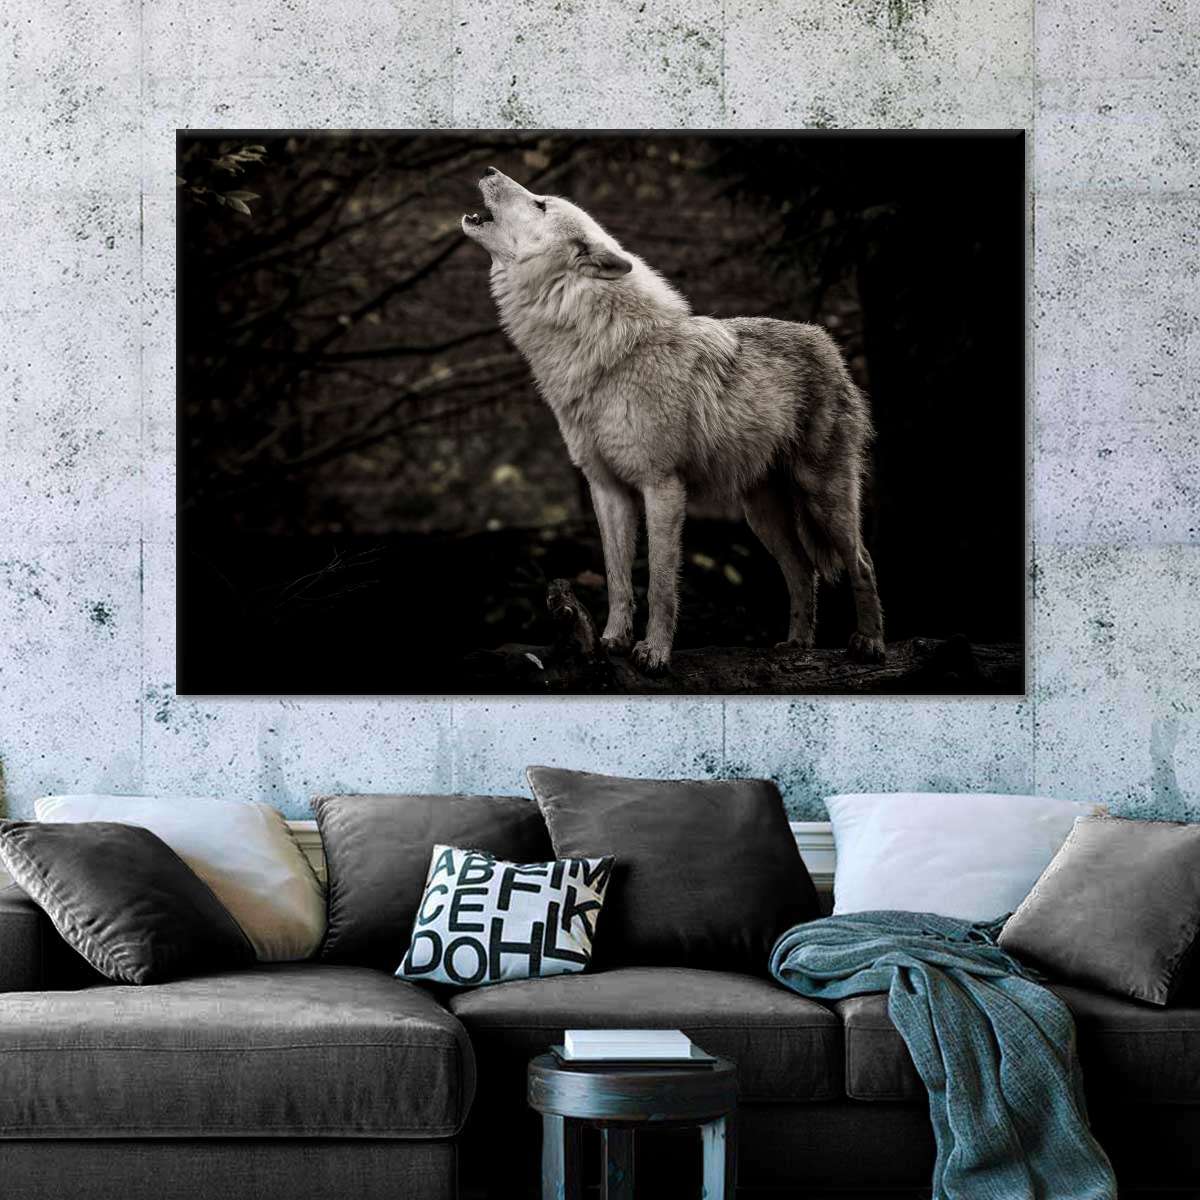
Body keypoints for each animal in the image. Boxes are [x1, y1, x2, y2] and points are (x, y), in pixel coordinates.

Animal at [462, 167, 884, 674]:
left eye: (541, 203)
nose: (489, 170)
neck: (604, 351)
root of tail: (826, 341)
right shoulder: (607, 489)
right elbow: (618, 579)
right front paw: (611, 641)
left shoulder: (661, 486)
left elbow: (661, 584)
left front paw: (654, 653)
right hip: (761, 514)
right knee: (802, 569)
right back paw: (797, 645)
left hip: (824, 497)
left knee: (862, 562)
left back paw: (870, 643)